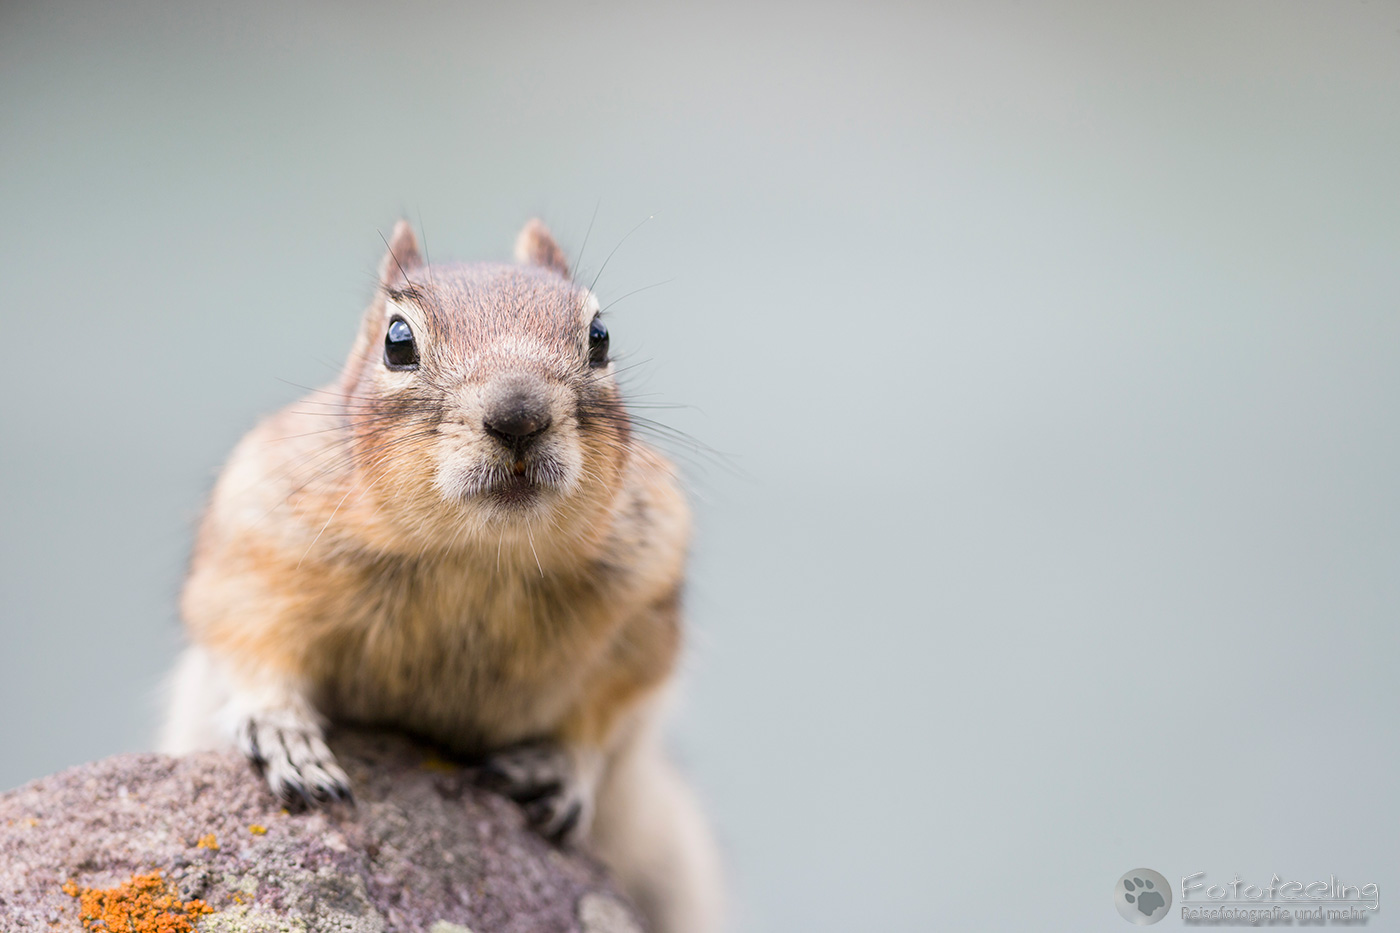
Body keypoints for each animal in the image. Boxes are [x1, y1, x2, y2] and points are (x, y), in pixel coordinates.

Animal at [159, 219, 724, 933]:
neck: (477, 556)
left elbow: (606, 711)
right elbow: (249, 648)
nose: (518, 415)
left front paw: (562, 766)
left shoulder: (643, 606)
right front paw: (283, 733)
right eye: (397, 341)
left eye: (599, 336)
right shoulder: (255, 553)